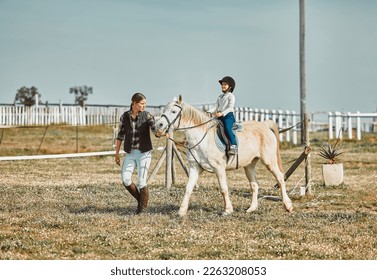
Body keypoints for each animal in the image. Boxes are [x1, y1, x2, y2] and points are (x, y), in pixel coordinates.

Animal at [152, 96, 290, 217]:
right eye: (164, 110)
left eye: (174, 111)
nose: (156, 127)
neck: (202, 138)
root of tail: (264, 125)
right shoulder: (195, 168)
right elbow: (188, 188)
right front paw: (181, 211)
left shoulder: (219, 168)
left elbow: (223, 189)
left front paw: (227, 210)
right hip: (249, 165)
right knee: (254, 185)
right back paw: (252, 208)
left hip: (269, 161)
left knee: (280, 178)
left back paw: (288, 205)